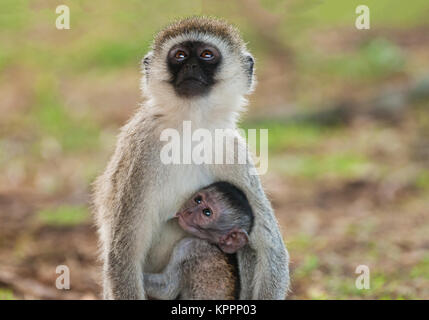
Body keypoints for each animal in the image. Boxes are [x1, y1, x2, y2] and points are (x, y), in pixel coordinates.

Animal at [93, 16, 288, 298]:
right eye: (180, 55)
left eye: (207, 55)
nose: (191, 66)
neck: (191, 125)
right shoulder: (142, 149)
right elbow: (124, 255)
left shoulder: (231, 149)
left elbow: (269, 248)